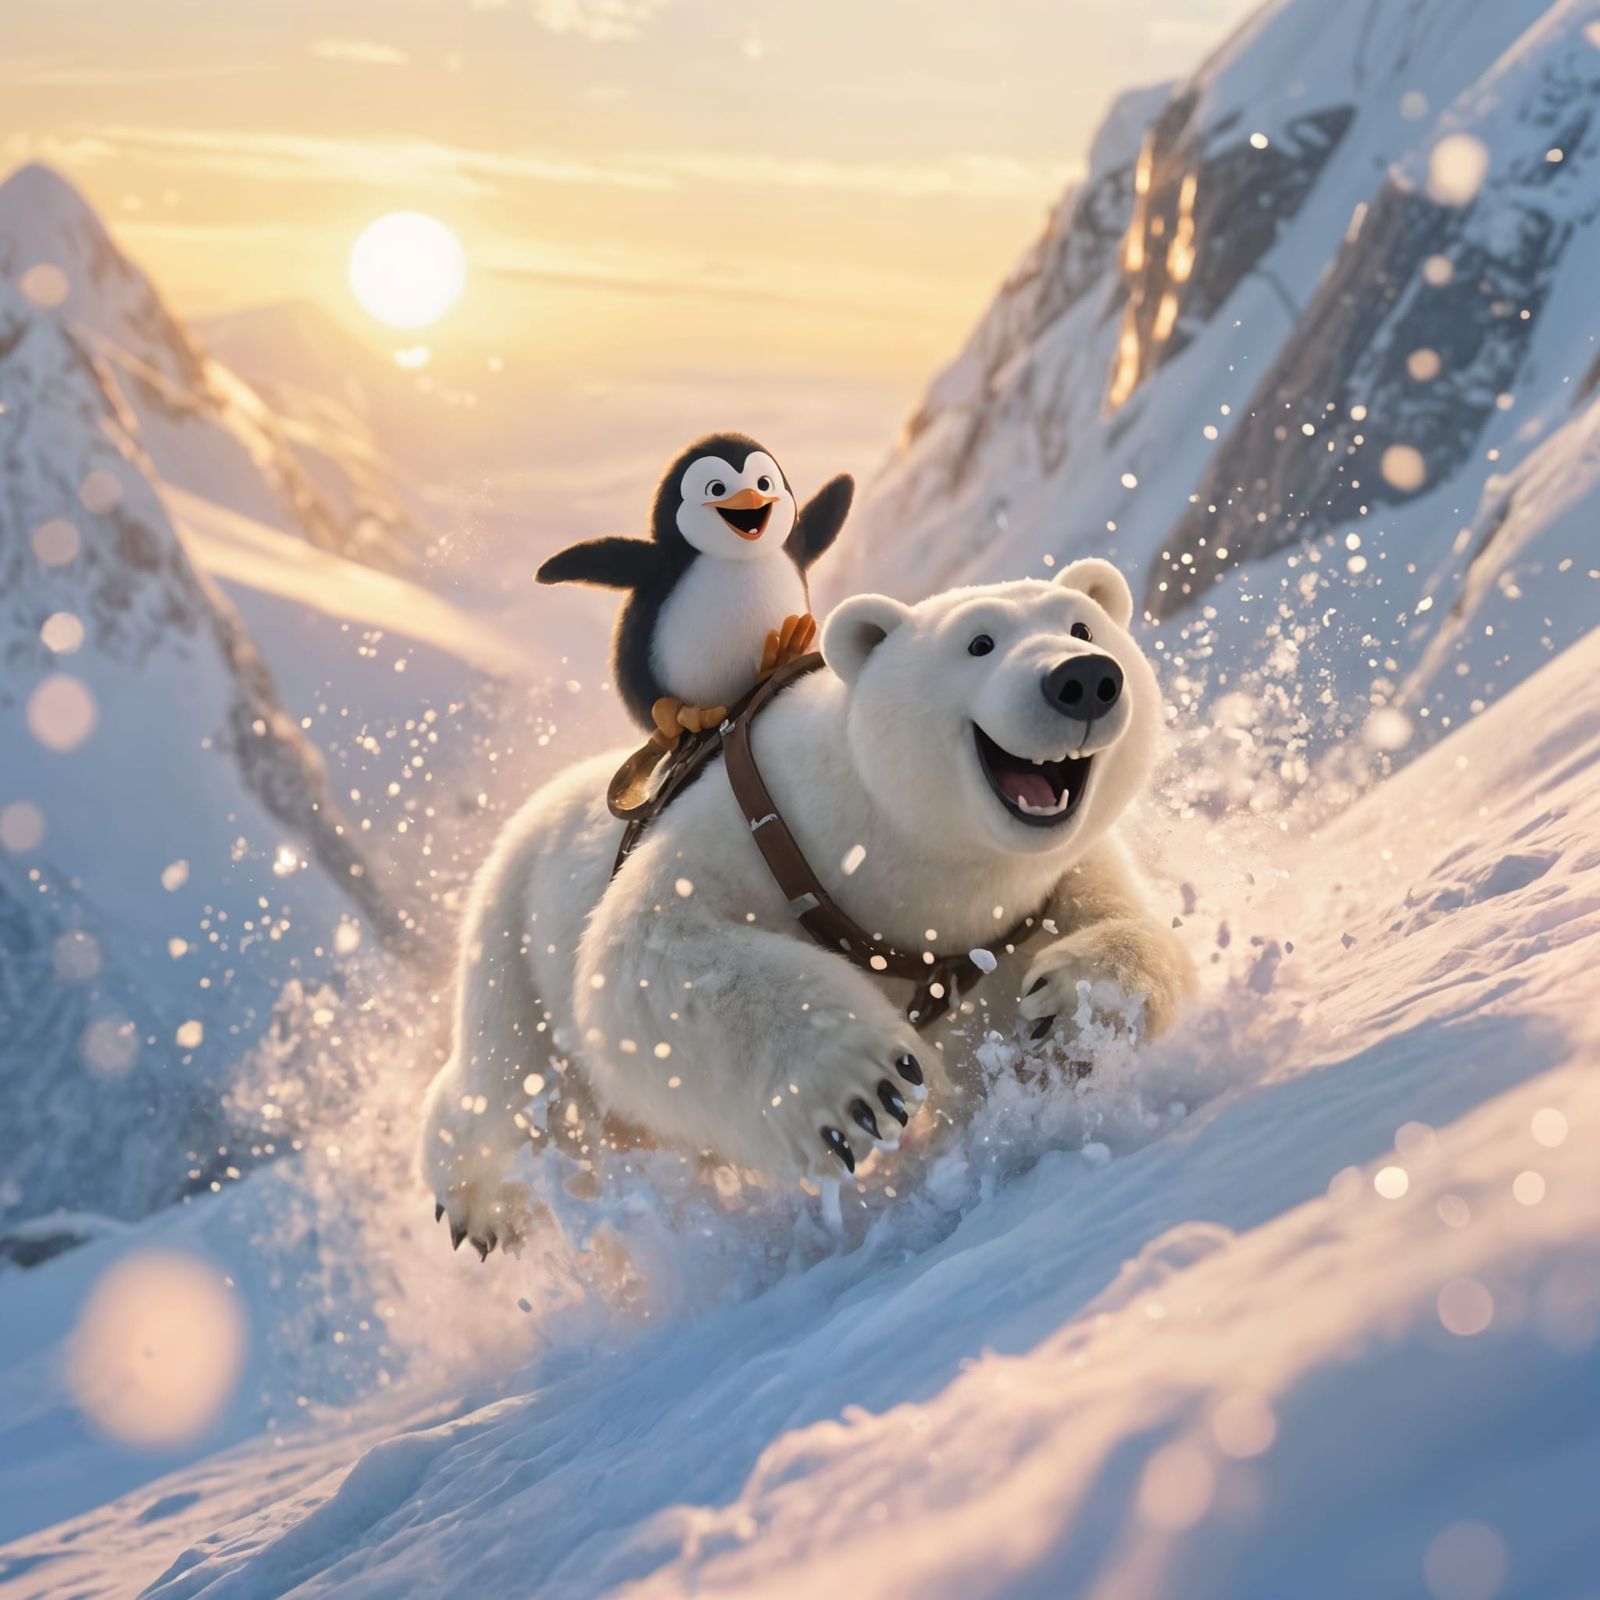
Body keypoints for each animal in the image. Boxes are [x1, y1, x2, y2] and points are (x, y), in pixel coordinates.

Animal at [419, 558, 1194, 1253]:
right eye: (979, 642)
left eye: (1082, 624)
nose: (1082, 679)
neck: (899, 860)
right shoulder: (764, 828)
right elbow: (644, 957)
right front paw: (866, 1091)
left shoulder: (1023, 908)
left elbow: (1119, 932)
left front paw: (1070, 1014)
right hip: (513, 939)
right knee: (511, 1089)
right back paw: (476, 1208)